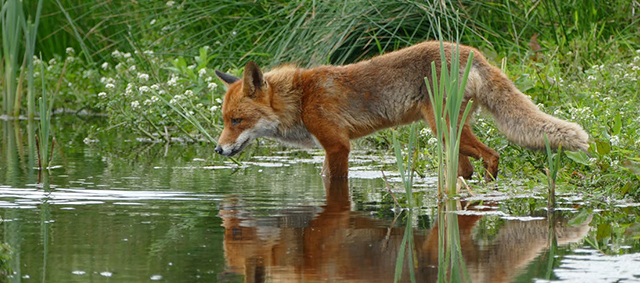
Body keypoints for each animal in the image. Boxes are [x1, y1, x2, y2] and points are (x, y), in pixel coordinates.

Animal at [215, 41, 592, 181]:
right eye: (225, 121)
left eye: (237, 120)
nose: (218, 149)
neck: (301, 98)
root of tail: (472, 51)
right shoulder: (330, 148)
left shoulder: (338, 146)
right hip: (451, 135)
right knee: (468, 168)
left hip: (443, 127)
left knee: (493, 155)